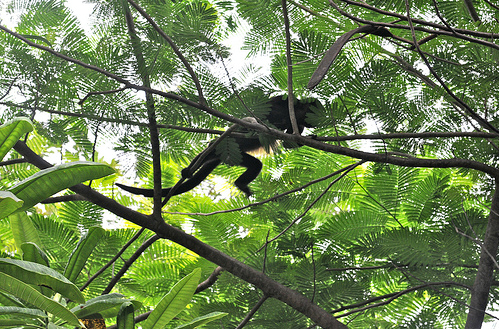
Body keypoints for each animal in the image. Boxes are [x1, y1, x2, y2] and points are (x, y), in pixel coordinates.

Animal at [115, 95, 322, 197]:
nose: (318, 121)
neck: (292, 113)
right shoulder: (285, 103)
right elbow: (267, 105)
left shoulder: (295, 125)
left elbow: (288, 143)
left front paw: (313, 137)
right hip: (222, 146)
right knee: (207, 151)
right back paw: (188, 169)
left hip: (235, 155)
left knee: (254, 165)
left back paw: (240, 184)